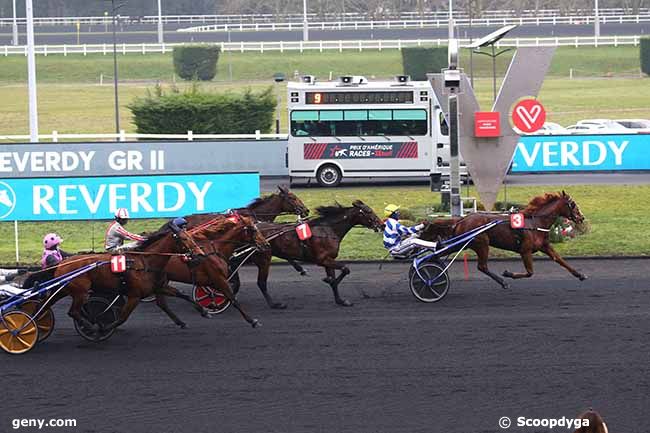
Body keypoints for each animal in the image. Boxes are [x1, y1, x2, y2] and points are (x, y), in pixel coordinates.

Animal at [249, 201, 382, 306]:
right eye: (369, 211)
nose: (381, 224)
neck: (327, 230)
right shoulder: (322, 259)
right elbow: (345, 269)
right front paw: (329, 280)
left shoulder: (329, 259)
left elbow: (336, 277)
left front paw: (340, 300)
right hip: (264, 258)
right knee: (261, 282)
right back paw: (274, 304)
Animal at [420, 191, 588, 288]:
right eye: (573, 204)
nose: (581, 217)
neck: (535, 223)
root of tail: (462, 219)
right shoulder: (525, 250)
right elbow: (530, 272)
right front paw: (508, 273)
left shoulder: (544, 246)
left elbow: (560, 260)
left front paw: (580, 275)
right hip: (482, 243)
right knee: (482, 266)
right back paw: (503, 282)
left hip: (464, 243)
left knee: (440, 253)